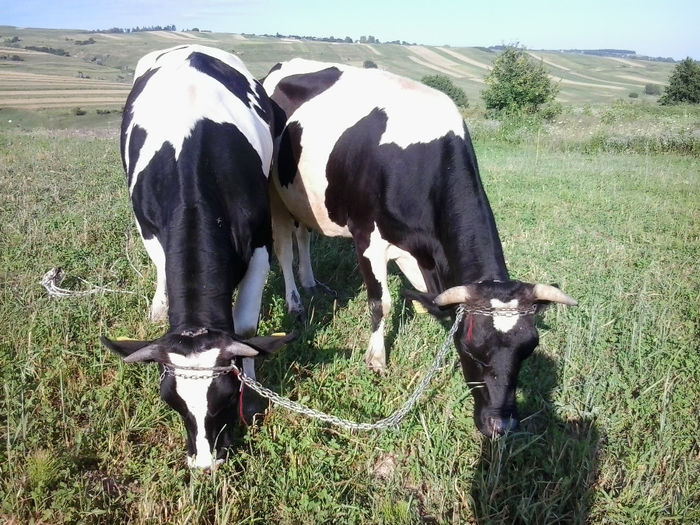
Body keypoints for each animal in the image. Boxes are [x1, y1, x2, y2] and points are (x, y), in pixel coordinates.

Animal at [101, 45, 294, 469]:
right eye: (170, 400)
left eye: (227, 395)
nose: (204, 463)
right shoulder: (152, 231)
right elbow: (162, 270)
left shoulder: (259, 242)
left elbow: (247, 329)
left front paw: (254, 400)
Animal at [262, 59, 577, 437]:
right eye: (470, 348)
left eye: (528, 349)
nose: (499, 425)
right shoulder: (367, 236)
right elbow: (380, 303)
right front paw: (376, 359)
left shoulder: (419, 251)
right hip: (275, 194)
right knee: (284, 249)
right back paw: (295, 301)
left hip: (305, 199)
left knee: (305, 236)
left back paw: (311, 283)